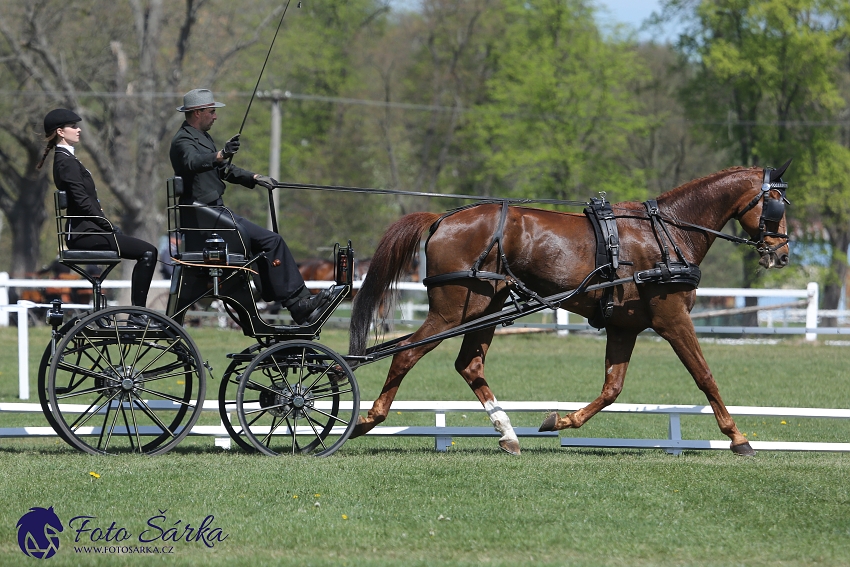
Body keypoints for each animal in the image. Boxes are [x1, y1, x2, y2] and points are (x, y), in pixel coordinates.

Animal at [346, 164, 788, 458]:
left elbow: (612, 389)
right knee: (406, 355)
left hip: (486, 305)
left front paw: (559, 422)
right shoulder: (672, 318)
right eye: (777, 205)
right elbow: (705, 375)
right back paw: (367, 420)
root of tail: (442, 218)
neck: (666, 233)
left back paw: (508, 434)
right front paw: (738, 438)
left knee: (469, 364)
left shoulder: (624, 327)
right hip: (453, 311)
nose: (781, 254)